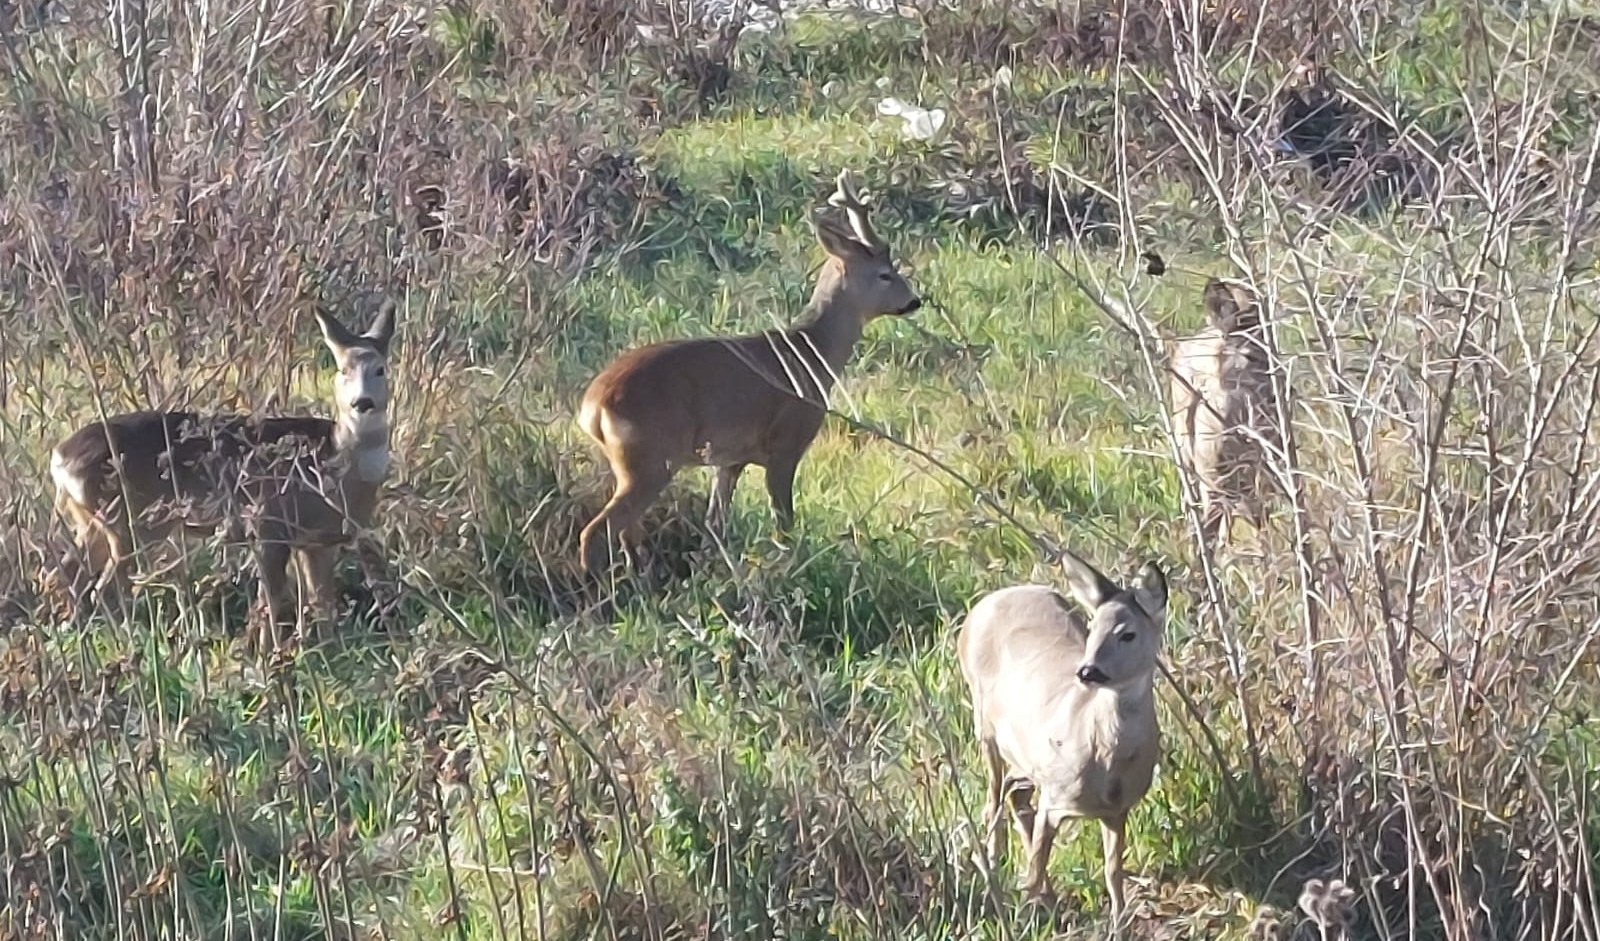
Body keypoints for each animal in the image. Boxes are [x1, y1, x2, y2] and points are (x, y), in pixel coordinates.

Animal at [51, 300, 400, 646]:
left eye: (380, 369)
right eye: (343, 370)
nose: (362, 402)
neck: (334, 470)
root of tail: (59, 457)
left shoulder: (319, 542)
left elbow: (322, 604)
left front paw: (326, 649)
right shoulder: (268, 523)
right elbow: (273, 600)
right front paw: (272, 653)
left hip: (92, 521)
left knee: (70, 572)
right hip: (131, 523)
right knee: (103, 588)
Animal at [582, 172, 921, 576]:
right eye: (885, 274)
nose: (915, 301)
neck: (809, 353)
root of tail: (593, 405)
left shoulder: (730, 459)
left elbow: (715, 525)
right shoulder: (786, 443)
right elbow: (784, 522)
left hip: (632, 463)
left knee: (625, 531)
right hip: (649, 459)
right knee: (597, 531)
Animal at [953, 547, 1171, 921]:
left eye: (1127, 634)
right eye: (1093, 627)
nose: (1087, 671)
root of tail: (985, 603)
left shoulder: (1118, 810)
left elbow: (1113, 873)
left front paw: (1119, 923)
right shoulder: (1054, 798)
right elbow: (1035, 866)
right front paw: (1027, 917)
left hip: (1026, 757)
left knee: (1015, 797)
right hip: (985, 727)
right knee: (994, 802)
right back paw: (996, 872)